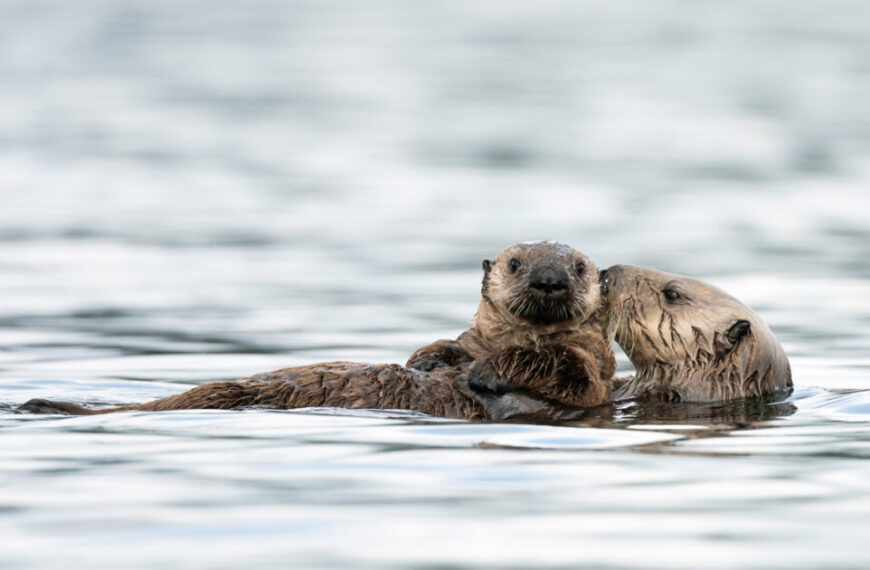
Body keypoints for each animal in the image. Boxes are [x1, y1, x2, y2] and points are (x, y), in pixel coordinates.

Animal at [18, 242, 615, 419]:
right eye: (516, 262)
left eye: (579, 266)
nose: (549, 279)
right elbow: (450, 345)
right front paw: (428, 359)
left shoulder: (590, 378)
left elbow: (567, 372)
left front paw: (486, 372)